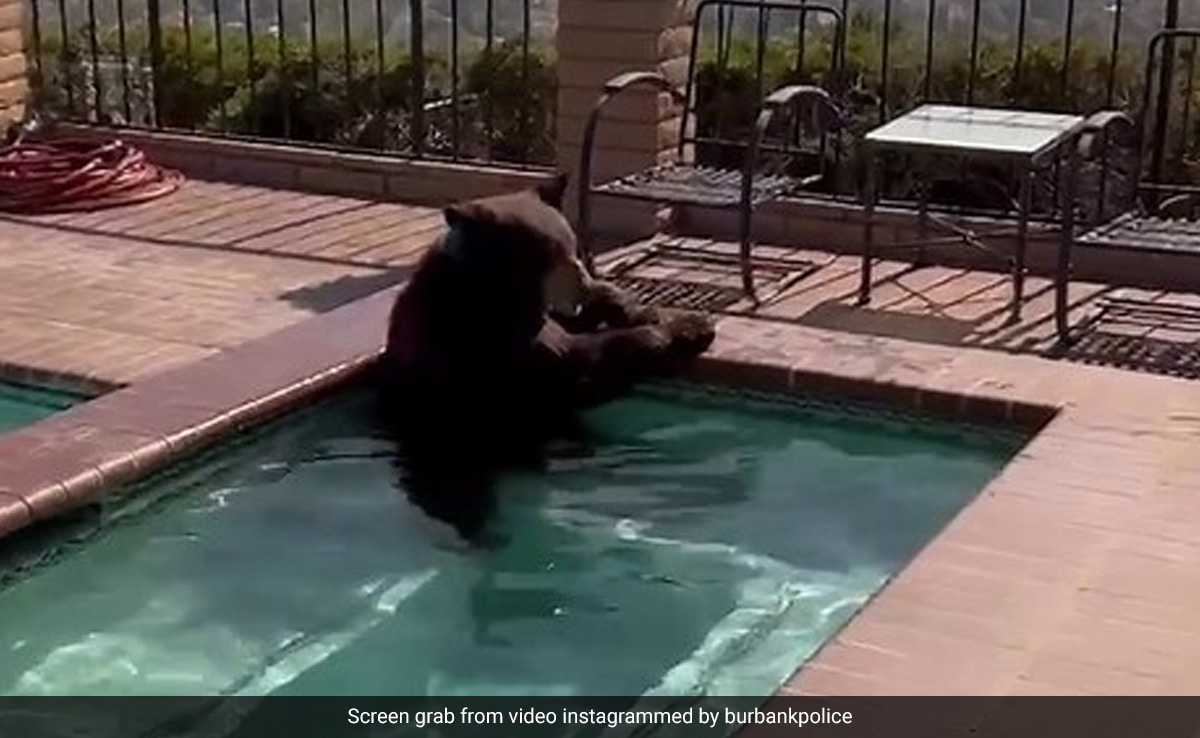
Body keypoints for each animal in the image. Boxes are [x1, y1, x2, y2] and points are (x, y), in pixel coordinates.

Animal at [376, 173, 716, 542]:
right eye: (549, 254)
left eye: (571, 244)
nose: (582, 282)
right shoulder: (488, 337)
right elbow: (577, 365)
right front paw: (690, 328)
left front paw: (632, 306)